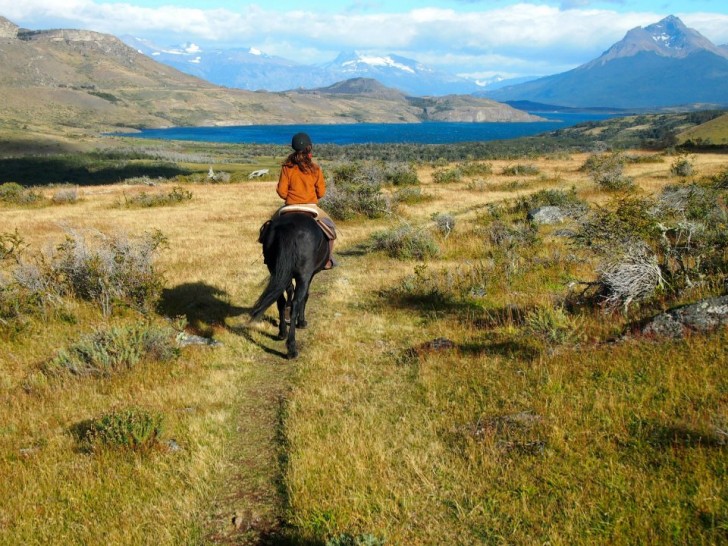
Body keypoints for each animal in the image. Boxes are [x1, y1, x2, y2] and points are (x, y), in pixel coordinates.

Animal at [252, 211, 328, 356]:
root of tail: (288, 227)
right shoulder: (309, 275)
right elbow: (305, 296)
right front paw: (302, 322)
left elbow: (289, 291)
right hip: (303, 275)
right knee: (296, 303)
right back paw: (292, 348)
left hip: (275, 270)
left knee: (280, 301)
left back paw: (282, 332)